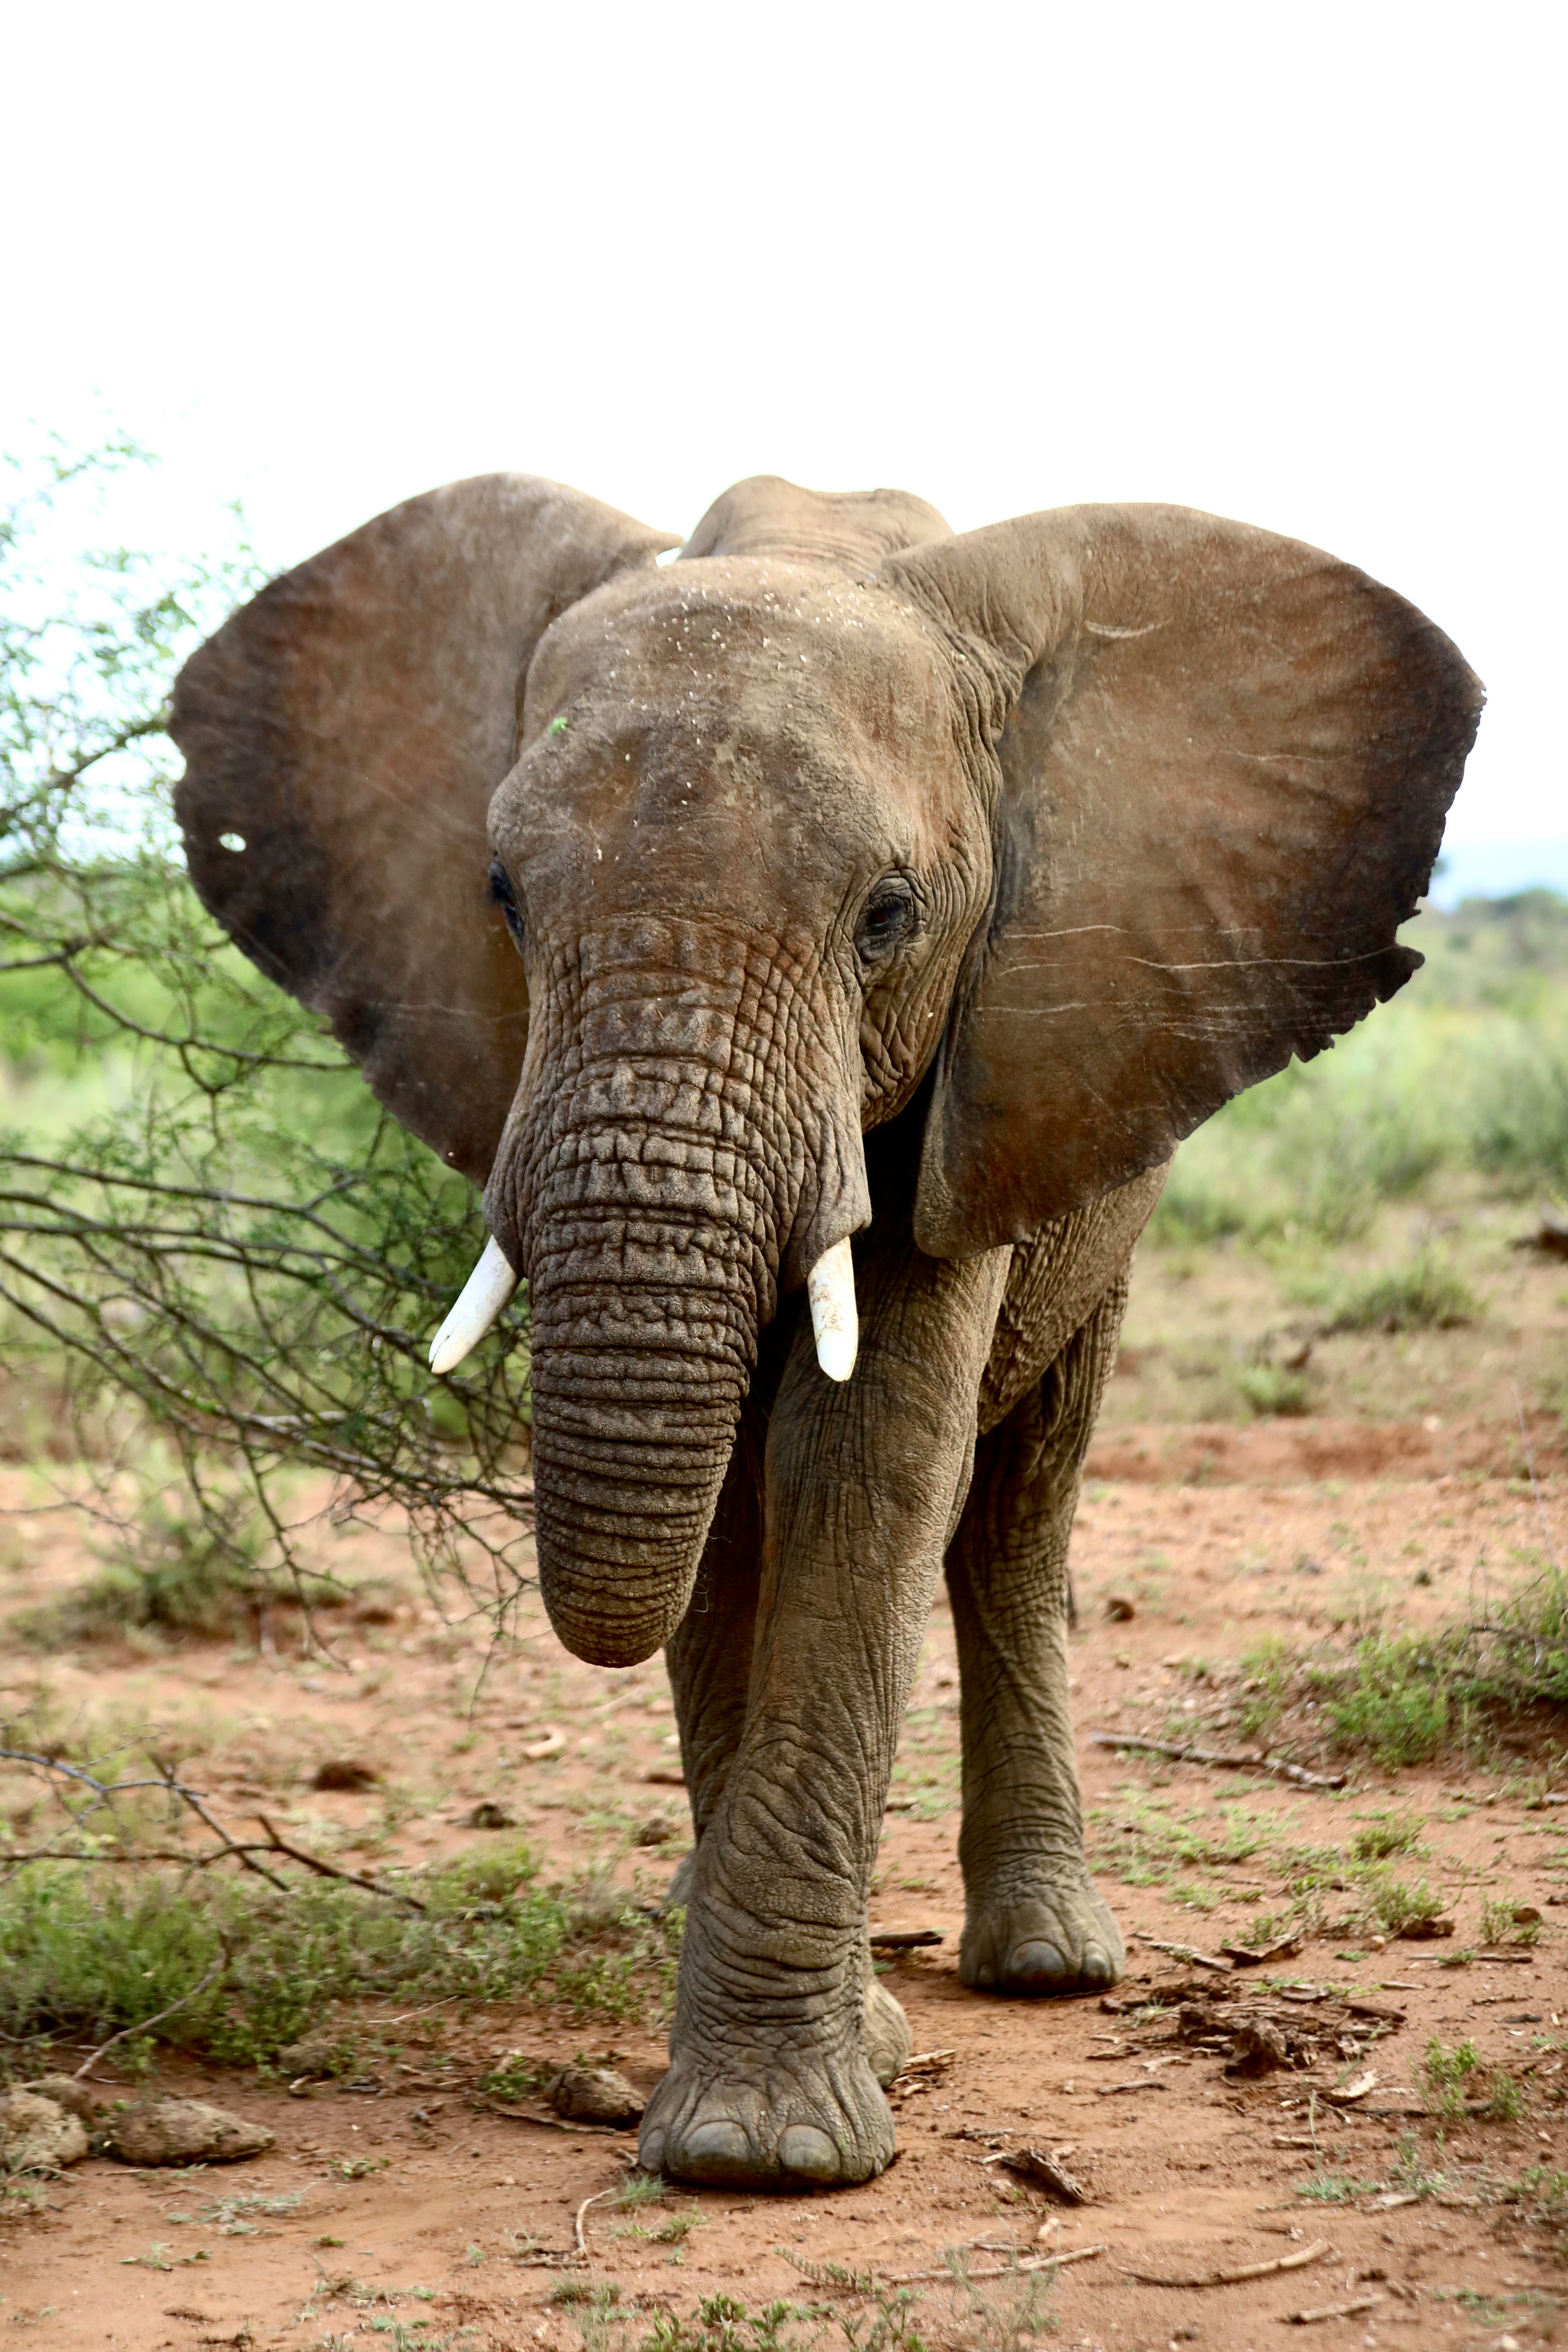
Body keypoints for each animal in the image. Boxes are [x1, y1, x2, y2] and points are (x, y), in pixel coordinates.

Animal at [170, 471, 1480, 2190]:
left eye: (888, 917)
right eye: (502, 899)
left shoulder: (968, 1078)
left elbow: (858, 1471)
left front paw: (768, 2147)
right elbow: (726, 1517)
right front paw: (831, 2059)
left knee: (1019, 1504)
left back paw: (1047, 1958)